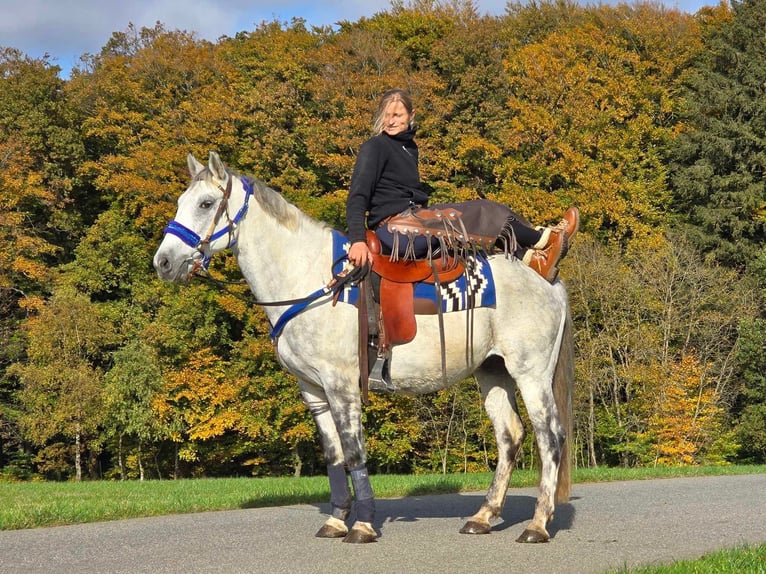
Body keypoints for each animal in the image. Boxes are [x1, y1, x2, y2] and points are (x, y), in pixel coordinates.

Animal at [153, 152, 572, 544]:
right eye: (181, 201)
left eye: (206, 203)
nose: (163, 262)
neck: (312, 278)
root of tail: (547, 279)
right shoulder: (313, 390)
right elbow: (334, 455)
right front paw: (337, 520)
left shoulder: (341, 385)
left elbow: (354, 451)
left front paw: (364, 524)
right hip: (492, 371)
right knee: (510, 435)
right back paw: (483, 516)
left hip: (531, 374)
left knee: (550, 436)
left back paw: (537, 524)